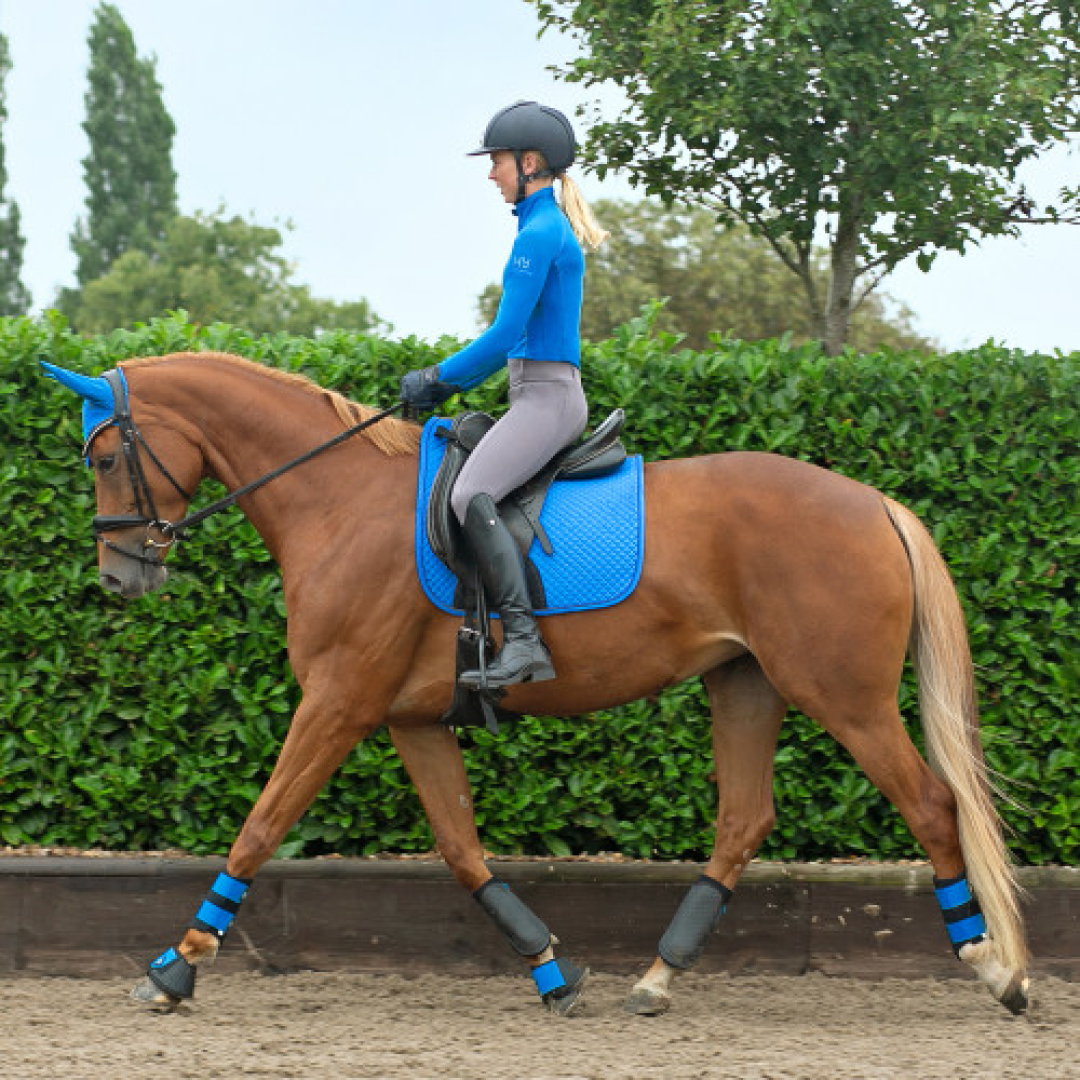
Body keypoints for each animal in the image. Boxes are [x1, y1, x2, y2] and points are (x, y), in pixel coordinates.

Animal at [42, 351, 1030, 1017]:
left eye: (104, 458)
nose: (119, 577)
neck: (336, 499)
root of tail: (877, 503)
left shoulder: (338, 701)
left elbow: (260, 825)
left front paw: (176, 966)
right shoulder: (409, 719)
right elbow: (461, 849)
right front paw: (551, 968)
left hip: (843, 696)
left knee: (931, 805)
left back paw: (995, 968)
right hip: (745, 683)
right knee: (745, 819)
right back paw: (657, 976)